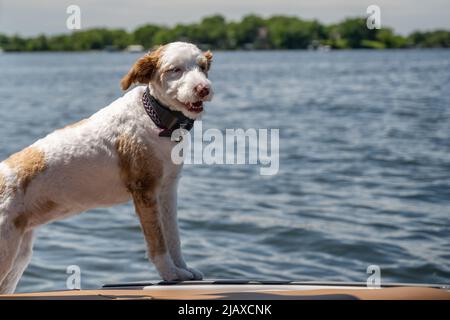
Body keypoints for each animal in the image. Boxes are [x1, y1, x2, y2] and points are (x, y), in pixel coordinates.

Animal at [0, 40, 214, 292]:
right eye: (175, 70)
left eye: (202, 67)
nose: (203, 89)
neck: (155, 118)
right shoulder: (144, 191)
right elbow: (158, 242)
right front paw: (170, 273)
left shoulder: (167, 190)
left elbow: (173, 237)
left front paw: (183, 270)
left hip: (19, 255)